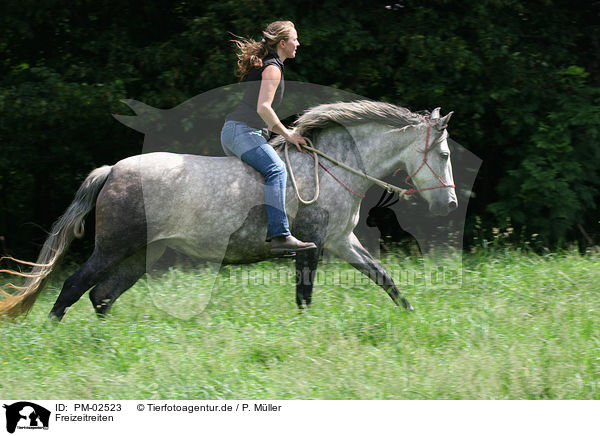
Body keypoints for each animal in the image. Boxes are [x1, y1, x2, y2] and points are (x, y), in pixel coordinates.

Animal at [0, 99, 454, 320]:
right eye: (445, 153)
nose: (449, 204)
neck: (332, 166)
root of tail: (112, 171)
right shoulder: (313, 244)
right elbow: (304, 296)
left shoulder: (341, 241)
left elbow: (385, 279)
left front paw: (412, 318)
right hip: (112, 247)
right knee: (73, 287)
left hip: (142, 254)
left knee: (101, 296)